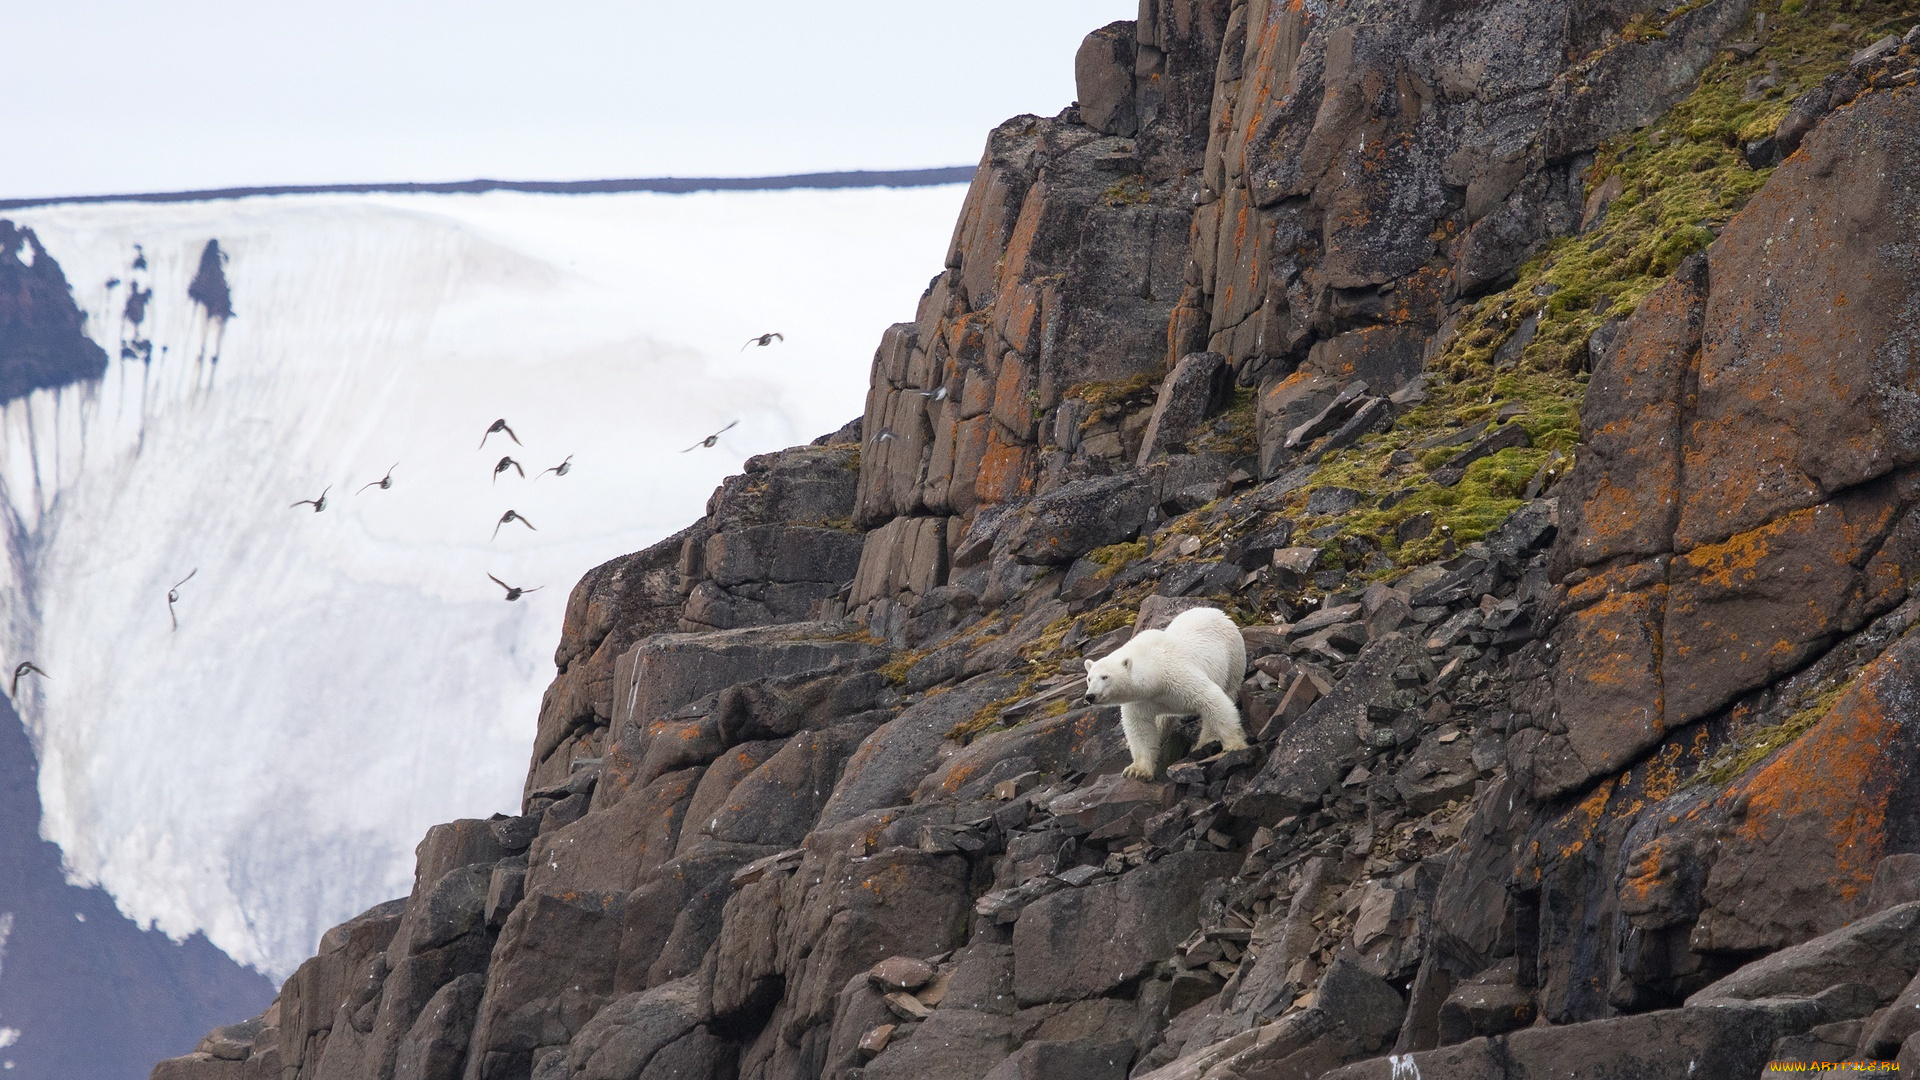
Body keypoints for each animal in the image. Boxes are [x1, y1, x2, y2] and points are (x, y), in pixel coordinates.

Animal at [1082, 599, 1244, 776]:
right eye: (1089, 678)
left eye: (1105, 677)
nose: (1090, 696)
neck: (1156, 673)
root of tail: (1216, 612)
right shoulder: (1142, 700)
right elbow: (1140, 725)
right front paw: (1136, 770)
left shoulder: (1179, 676)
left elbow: (1212, 699)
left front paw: (1234, 745)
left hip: (1233, 657)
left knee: (1228, 691)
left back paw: (1206, 739)